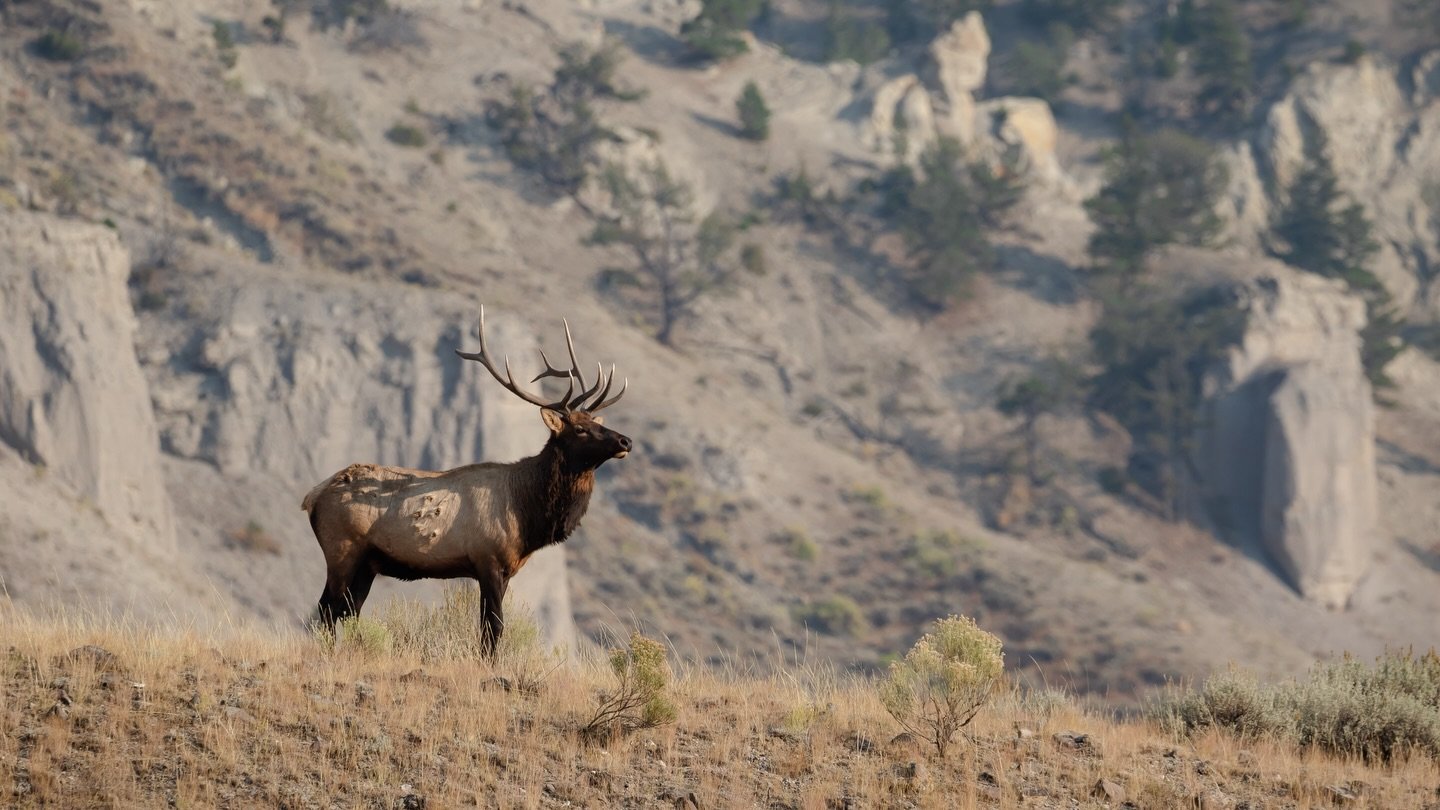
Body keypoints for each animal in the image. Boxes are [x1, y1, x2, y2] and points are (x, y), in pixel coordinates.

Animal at [300, 306, 631, 653]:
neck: (528, 514)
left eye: (597, 422)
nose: (626, 441)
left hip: (368, 563)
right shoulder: (488, 559)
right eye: (579, 428)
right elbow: (493, 629)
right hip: (342, 549)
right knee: (327, 608)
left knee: (348, 611)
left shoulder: (506, 569)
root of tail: (312, 496)